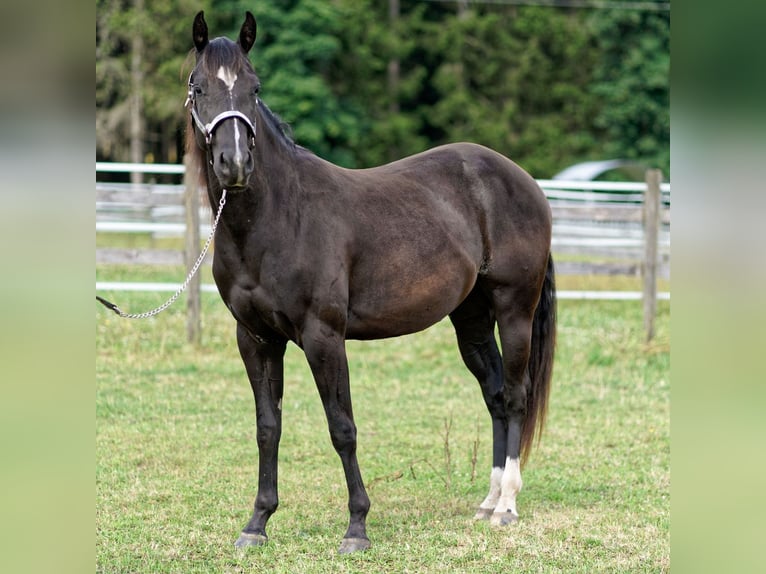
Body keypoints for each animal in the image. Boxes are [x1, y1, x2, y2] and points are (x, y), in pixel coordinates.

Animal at [185, 10, 556, 554]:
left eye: (254, 88)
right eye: (199, 87)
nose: (234, 165)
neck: (278, 217)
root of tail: (523, 180)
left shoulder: (323, 337)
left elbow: (342, 428)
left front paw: (357, 526)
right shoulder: (255, 338)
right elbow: (267, 427)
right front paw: (257, 522)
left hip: (513, 309)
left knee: (514, 396)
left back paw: (506, 505)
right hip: (470, 317)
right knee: (493, 395)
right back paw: (488, 502)